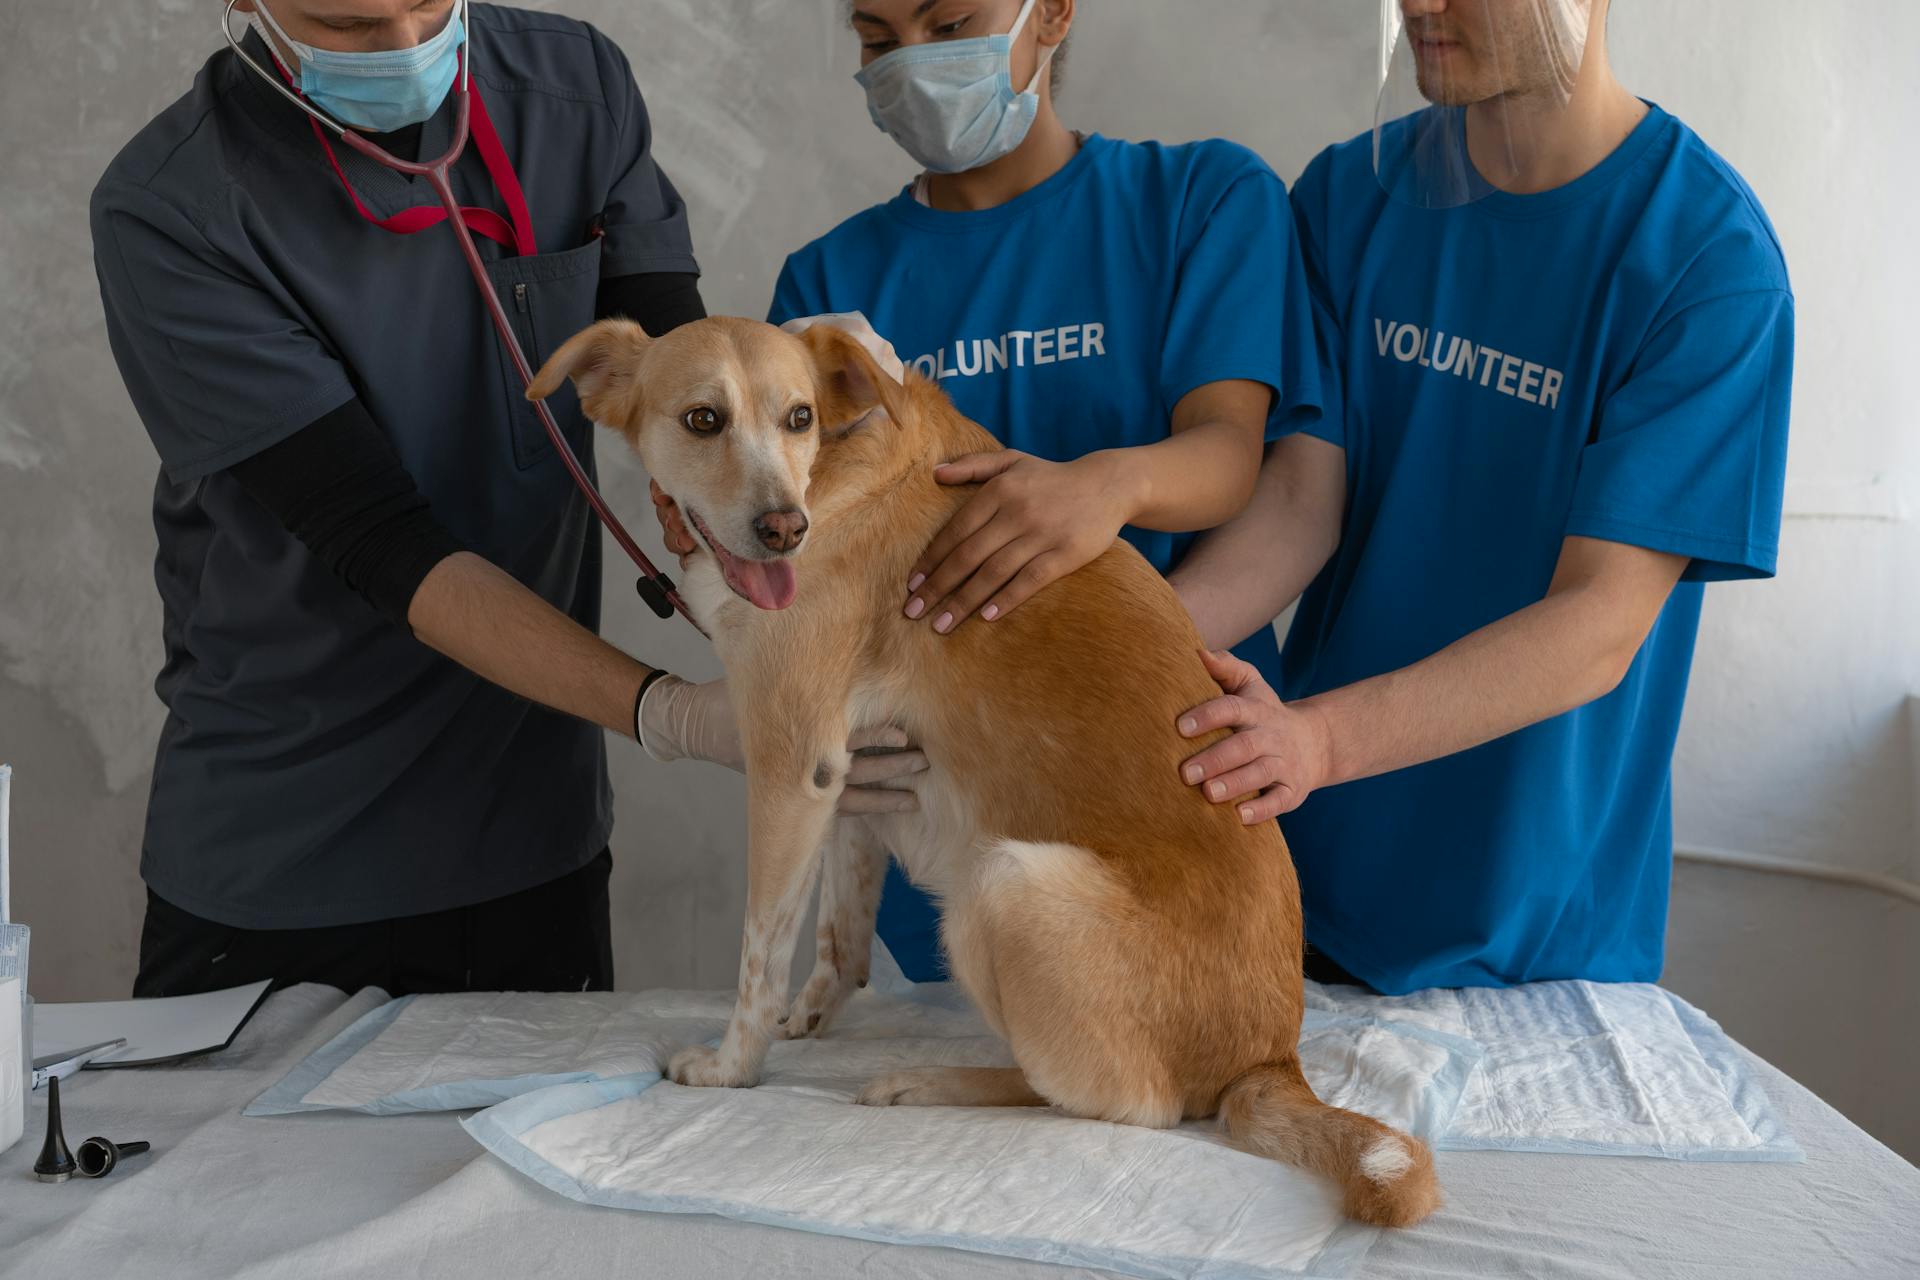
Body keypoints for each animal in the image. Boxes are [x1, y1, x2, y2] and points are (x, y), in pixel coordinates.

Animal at [529, 314, 1443, 1228]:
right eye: (703, 421)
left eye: (798, 418)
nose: (785, 528)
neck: (835, 466)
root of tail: (1271, 1059)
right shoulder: (849, 776)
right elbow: (838, 933)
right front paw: (809, 1014)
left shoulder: (791, 765)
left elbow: (759, 951)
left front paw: (730, 1067)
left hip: (1004, 882)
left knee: (1123, 1103)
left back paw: (934, 1082)